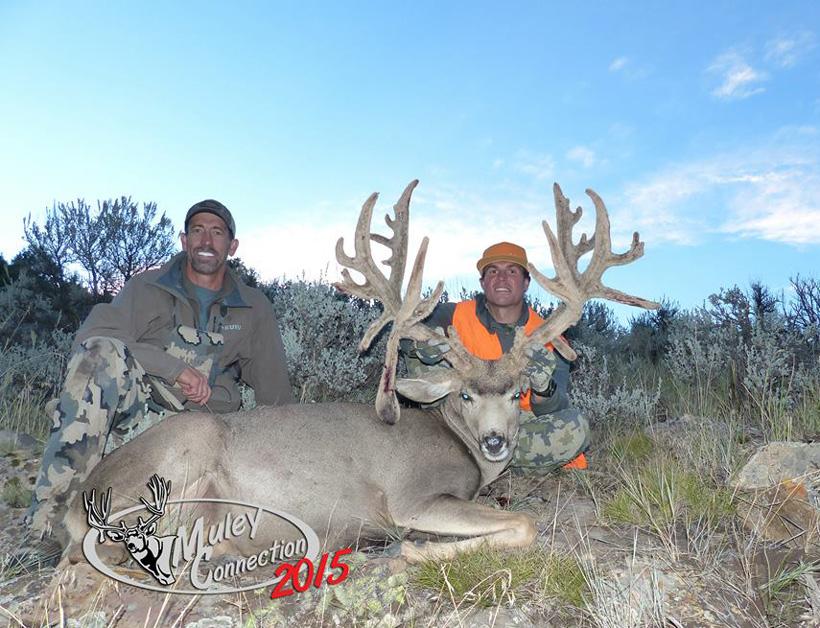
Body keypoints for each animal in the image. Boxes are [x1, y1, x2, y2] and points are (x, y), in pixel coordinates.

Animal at [61, 180, 658, 566]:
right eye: (464, 396)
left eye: (516, 394)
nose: (494, 441)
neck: (457, 446)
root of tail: (82, 495)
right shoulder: (415, 495)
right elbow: (523, 523)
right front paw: (415, 551)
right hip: (184, 449)